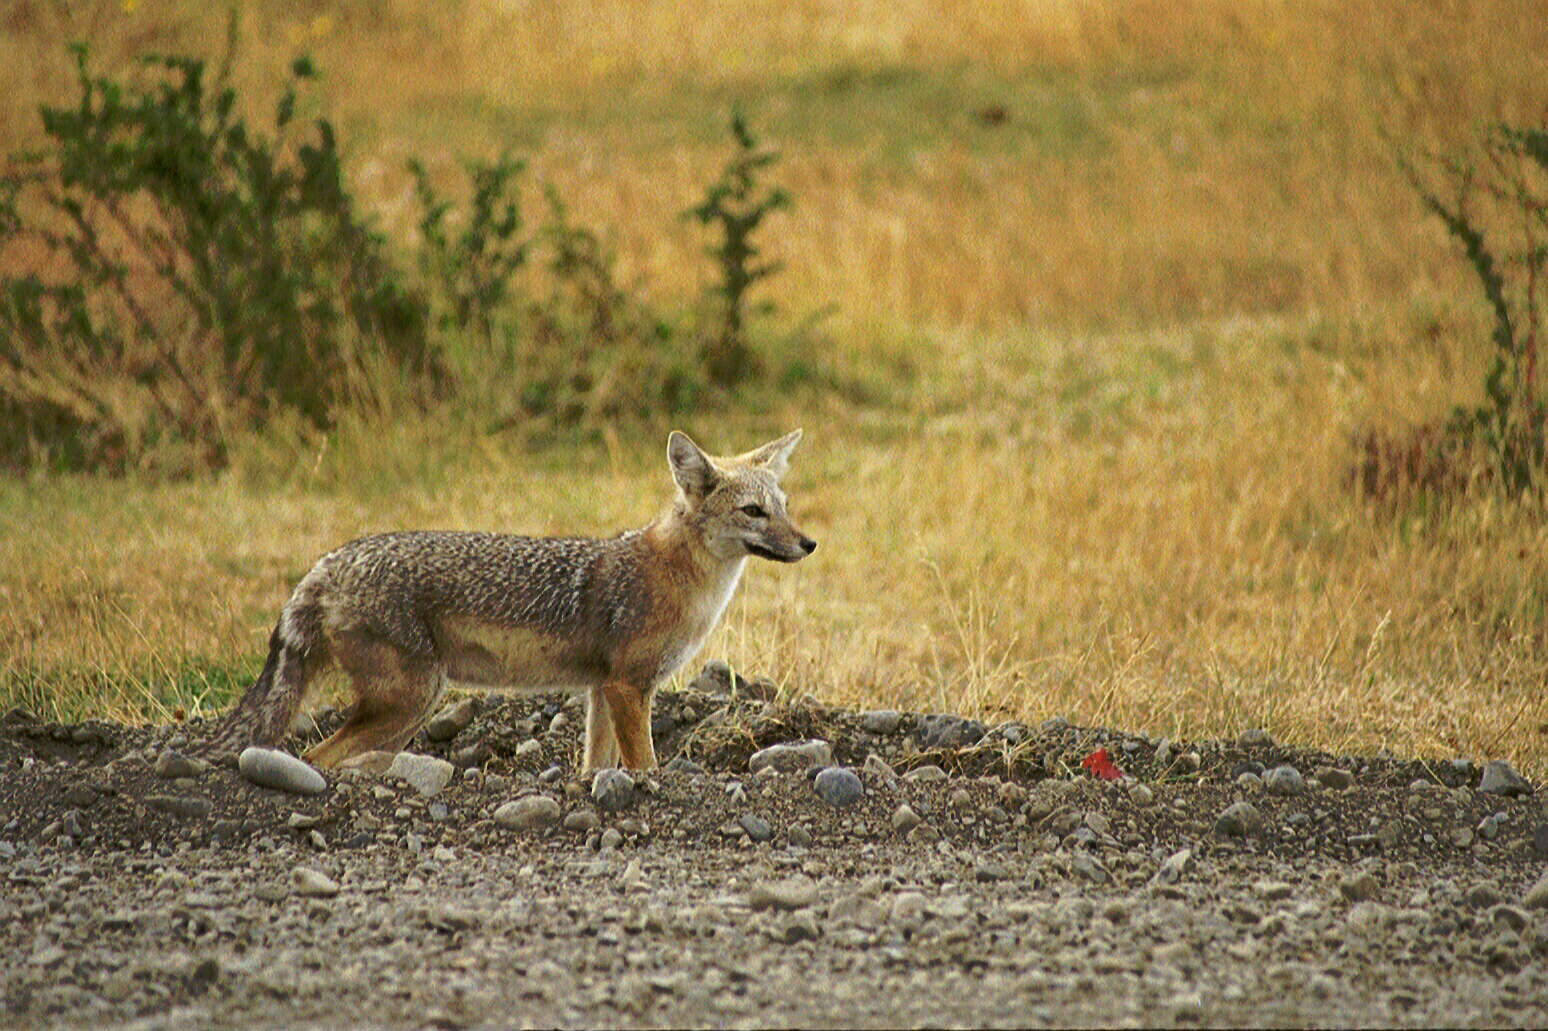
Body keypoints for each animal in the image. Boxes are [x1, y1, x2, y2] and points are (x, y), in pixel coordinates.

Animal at [199, 427, 817, 770]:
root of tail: (327, 563)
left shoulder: (602, 689)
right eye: (754, 512)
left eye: (785, 507)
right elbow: (646, 766)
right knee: (311, 758)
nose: (809, 544)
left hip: (405, 712)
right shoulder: (629, 687)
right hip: (410, 700)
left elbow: (595, 767)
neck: (679, 579)